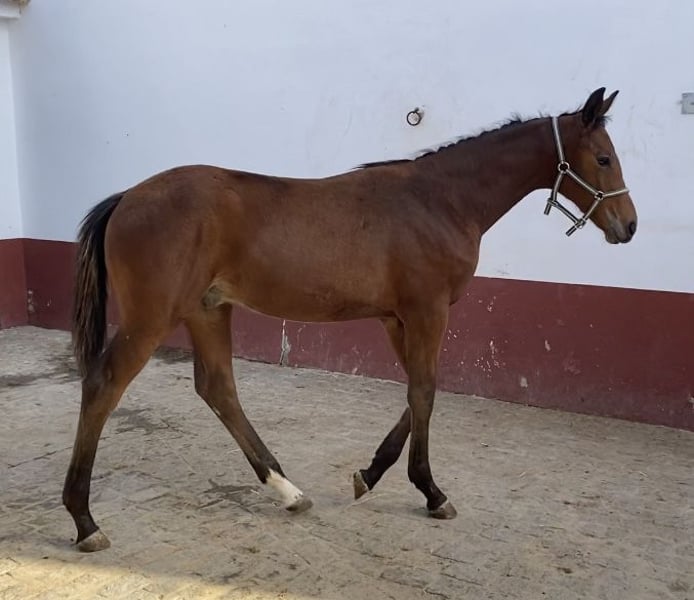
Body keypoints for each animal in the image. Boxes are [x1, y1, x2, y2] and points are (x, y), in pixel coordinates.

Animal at [63, 87, 637, 551]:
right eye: (603, 158)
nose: (628, 226)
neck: (440, 199)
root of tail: (126, 198)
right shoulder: (426, 310)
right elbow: (424, 391)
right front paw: (431, 492)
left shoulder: (396, 317)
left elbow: (419, 390)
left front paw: (370, 473)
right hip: (152, 318)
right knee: (104, 385)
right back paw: (85, 520)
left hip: (208, 310)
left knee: (218, 389)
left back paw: (288, 491)